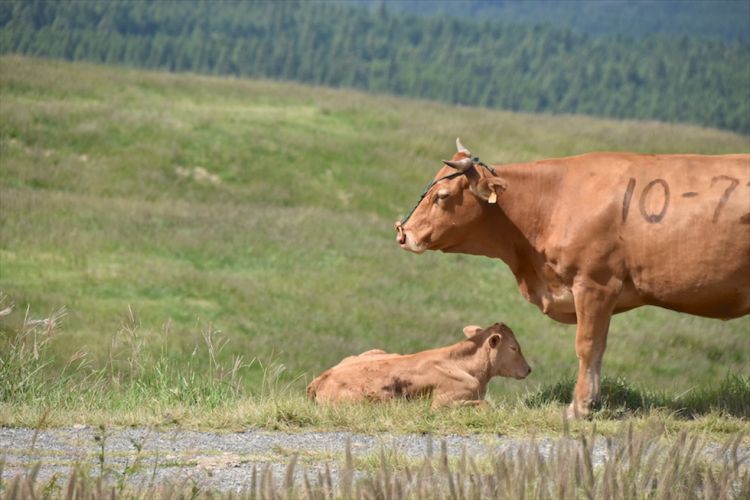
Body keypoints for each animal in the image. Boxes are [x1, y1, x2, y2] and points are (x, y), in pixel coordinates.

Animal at [396, 140, 748, 418]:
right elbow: (599, 347)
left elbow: (588, 345)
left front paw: (579, 407)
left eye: (442, 195)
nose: (403, 233)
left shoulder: (595, 283)